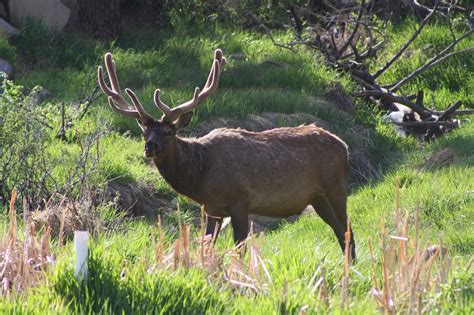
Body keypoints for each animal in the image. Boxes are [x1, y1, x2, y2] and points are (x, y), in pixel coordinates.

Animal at [97, 49, 356, 260]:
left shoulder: (240, 201)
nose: (150, 147)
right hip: (317, 197)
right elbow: (207, 245)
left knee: (347, 229)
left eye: (169, 132)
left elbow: (240, 248)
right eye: (145, 132)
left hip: (336, 188)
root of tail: (345, 146)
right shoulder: (211, 209)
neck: (201, 177)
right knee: (340, 231)